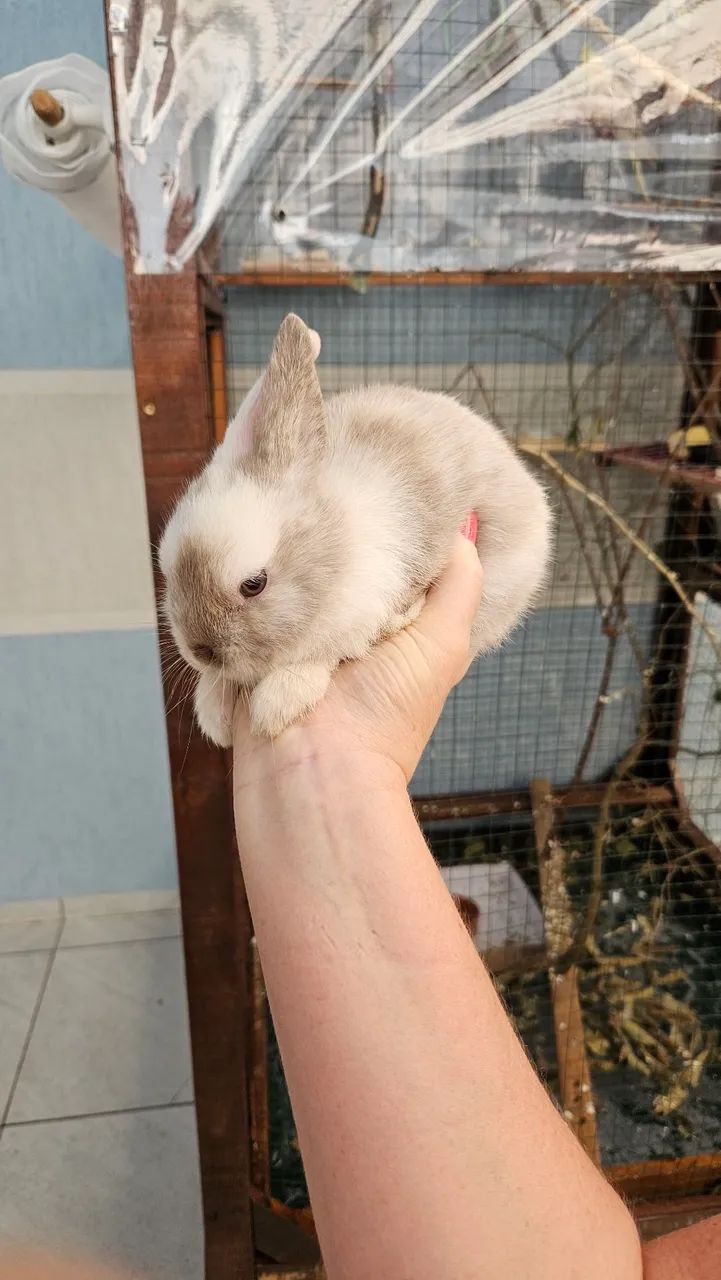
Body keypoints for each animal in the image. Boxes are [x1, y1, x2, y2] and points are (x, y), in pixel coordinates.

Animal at [158, 313, 553, 746]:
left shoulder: (360, 613)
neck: (335, 548)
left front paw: (279, 704)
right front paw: (213, 710)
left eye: (254, 584)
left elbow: (323, 656)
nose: (199, 651)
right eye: (166, 567)